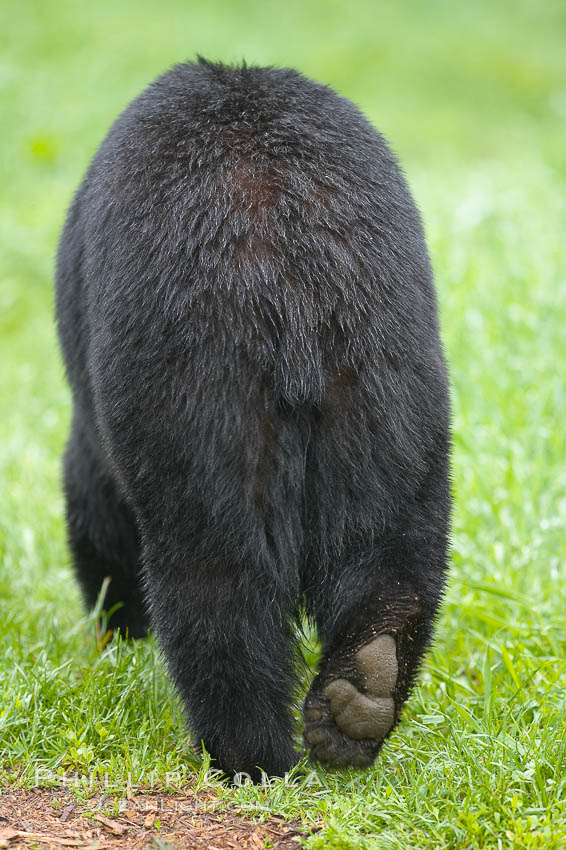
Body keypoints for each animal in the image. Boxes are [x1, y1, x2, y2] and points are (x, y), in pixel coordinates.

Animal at [56, 56, 452, 780]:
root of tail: (289, 262)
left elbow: (95, 503)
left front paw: (117, 621)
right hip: (387, 378)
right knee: (398, 533)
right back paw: (362, 692)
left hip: (197, 380)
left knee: (215, 571)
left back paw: (248, 753)